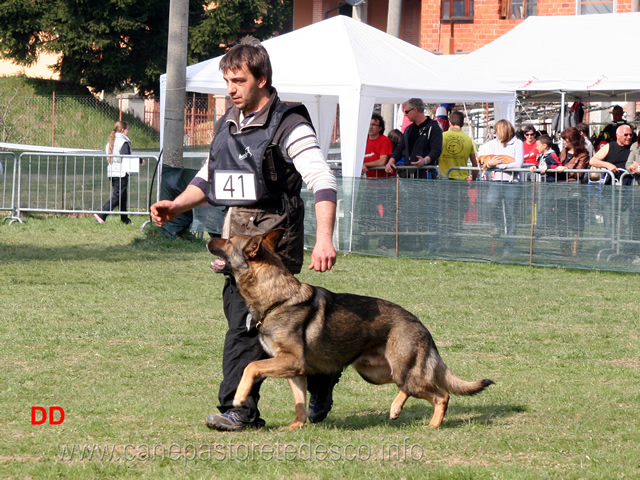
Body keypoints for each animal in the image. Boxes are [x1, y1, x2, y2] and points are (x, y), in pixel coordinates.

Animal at [208, 231, 498, 430]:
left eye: (228, 241)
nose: (211, 238)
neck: (277, 298)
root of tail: (422, 326)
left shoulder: (290, 361)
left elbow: (250, 366)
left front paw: (239, 397)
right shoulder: (295, 370)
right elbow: (299, 402)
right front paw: (296, 427)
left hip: (402, 373)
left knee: (441, 394)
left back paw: (433, 425)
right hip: (376, 373)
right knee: (410, 387)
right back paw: (395, 409)